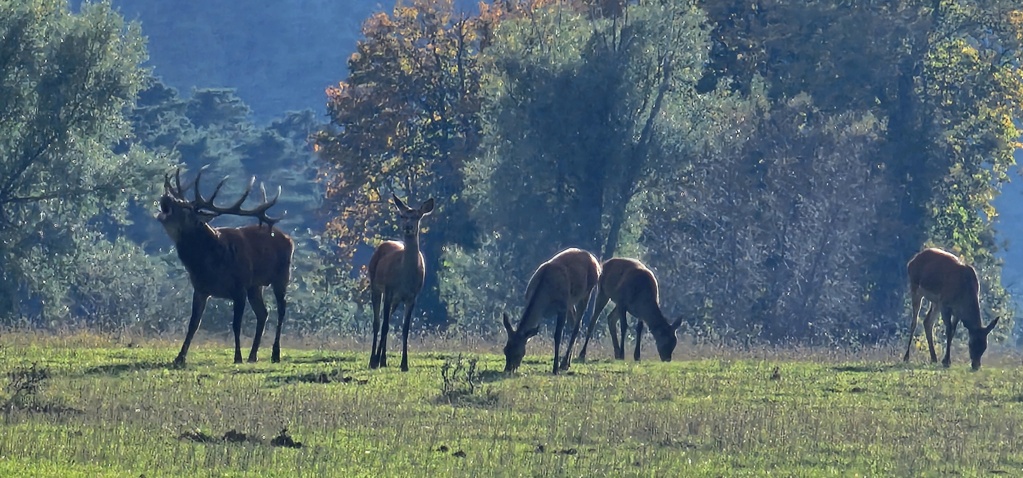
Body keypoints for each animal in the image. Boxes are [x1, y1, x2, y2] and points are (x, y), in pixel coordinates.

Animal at [155, 166, 294, 368]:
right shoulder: (200, 289)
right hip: (255, 286)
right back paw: (253, 355)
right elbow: (193, 324)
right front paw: (179, 358)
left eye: (186, 208)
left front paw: (237, 357)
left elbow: (236, 324)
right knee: (263, 313)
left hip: (281, 276)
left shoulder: (239, 287)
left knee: (282, 309)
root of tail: (289, 239)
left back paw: (275, 354)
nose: (166, 197)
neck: (207, 266)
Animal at [366, 192, 433, 372]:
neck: (405, 278)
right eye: (402, 215)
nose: (408, 227)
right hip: (375, 285)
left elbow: (405, 328)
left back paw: (383, 360)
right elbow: (384, 326)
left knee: (386, 319)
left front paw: (404, 364)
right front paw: (375, 361)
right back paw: (373, 360)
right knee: (378, 322)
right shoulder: (389, 289)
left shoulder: (412, 296)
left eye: (417, 216)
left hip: (395, 299)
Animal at [501, 248, 597, 376]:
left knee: (577, 325)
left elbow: (557, 336)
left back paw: (564, 363)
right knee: (574, 323)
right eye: (505, 350)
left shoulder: (561, 307)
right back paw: (567, 363)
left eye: (518, 353)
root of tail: (595, 261)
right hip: (570, 301)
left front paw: (555, 369)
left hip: (587, 291)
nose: (508, 369)